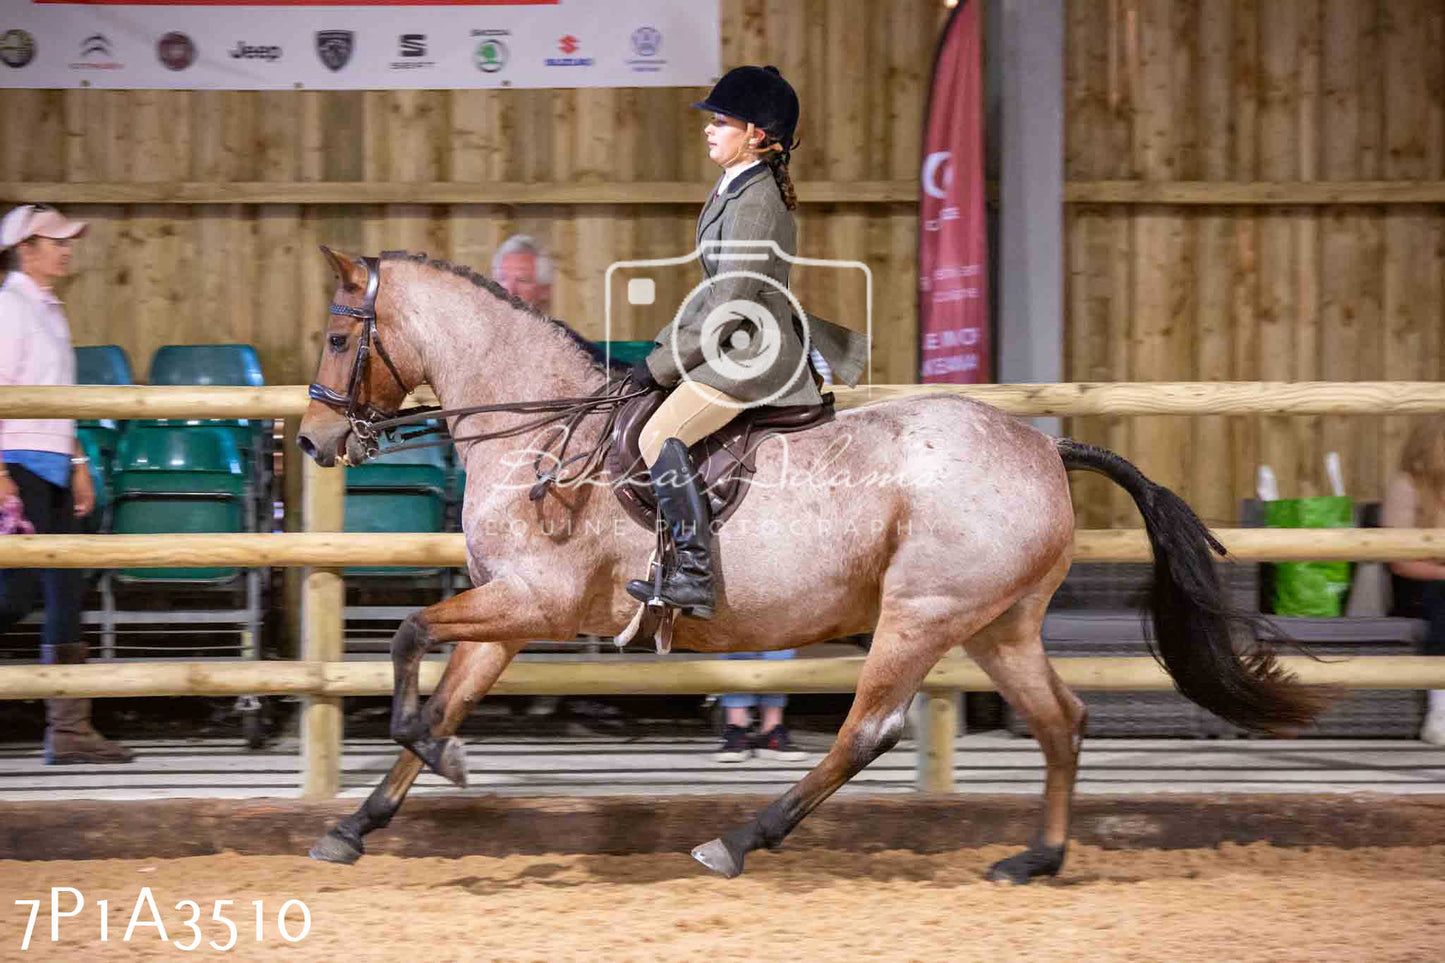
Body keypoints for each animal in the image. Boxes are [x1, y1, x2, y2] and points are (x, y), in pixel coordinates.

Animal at [299, 245, 1323, 879]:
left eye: (340, 337)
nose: (312, 440)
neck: (539, 426)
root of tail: (1041, 445)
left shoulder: (535, 603)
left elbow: (408, 638)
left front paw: (429, 748)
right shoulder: (506, 613)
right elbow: (443, 689)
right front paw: (355, 825)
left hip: (921, 613)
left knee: (868, 731)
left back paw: (741, 839)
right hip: (995, 623)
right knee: (1060, 721)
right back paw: (1036, 858)